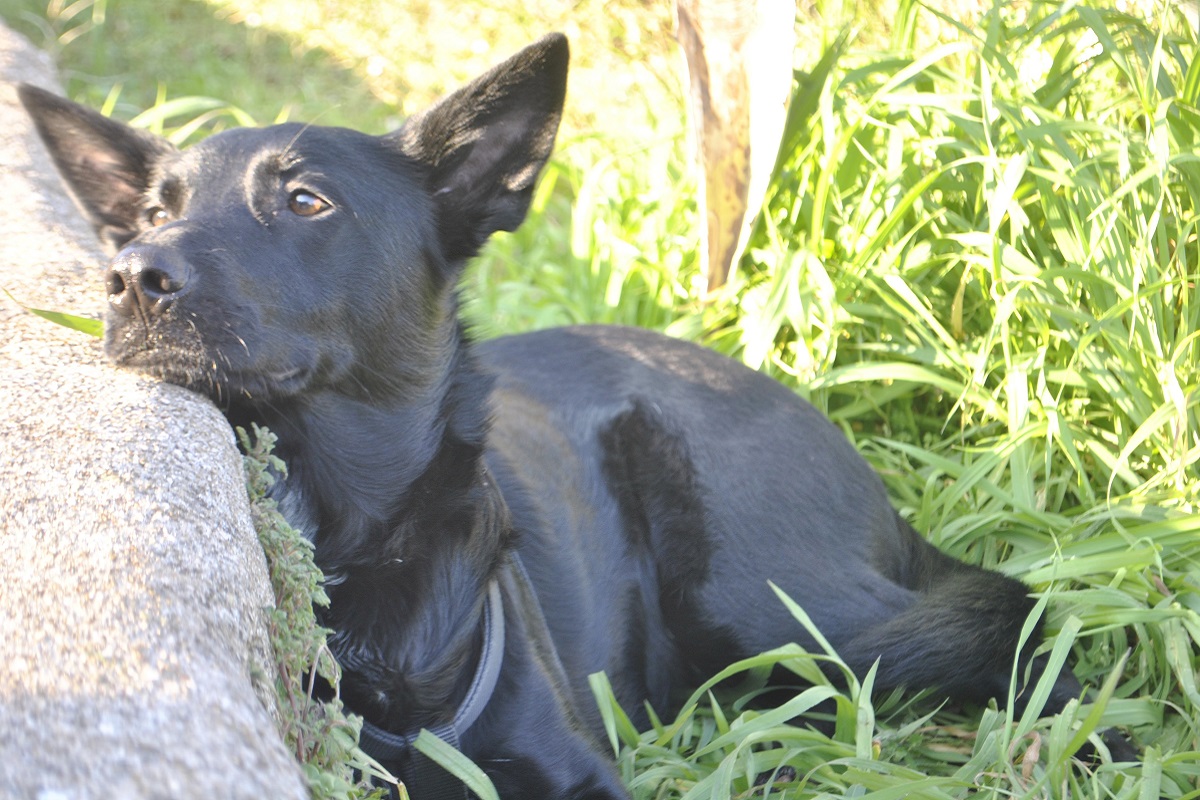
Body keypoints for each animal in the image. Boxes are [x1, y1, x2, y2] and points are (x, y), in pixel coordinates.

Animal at [16, 35, 1123, 800]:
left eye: (305, 200)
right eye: (154, 210)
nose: (129, 277)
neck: (349, 537)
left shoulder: (575, 769)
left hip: (761, 591)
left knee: (1014, 631)